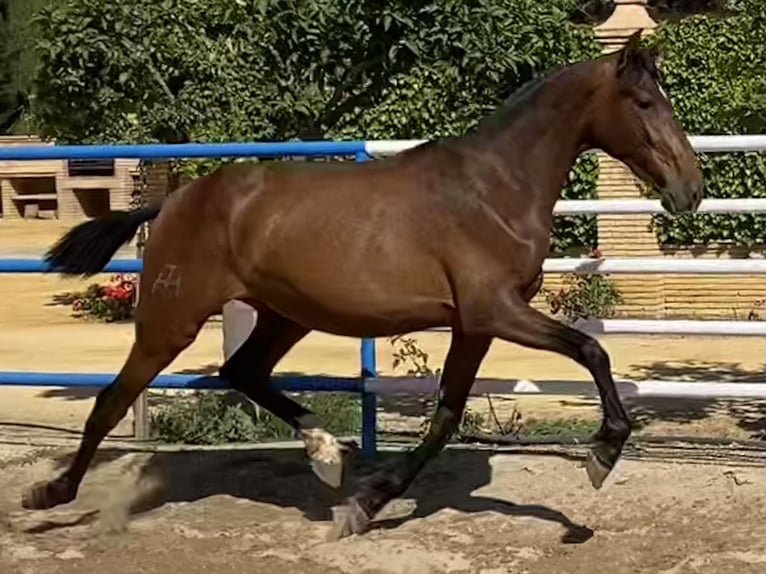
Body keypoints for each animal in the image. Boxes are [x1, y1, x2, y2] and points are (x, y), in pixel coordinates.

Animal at [22, 33, 704, 544]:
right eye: (644, 102)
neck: (494, 189)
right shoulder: (498, 310)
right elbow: (592, 350)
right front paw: (602, 457)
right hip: (173, 317)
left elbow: (446, 417)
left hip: (285, 314)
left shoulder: (474, 324)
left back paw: (327, 456)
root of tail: (174, 201)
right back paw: (50, 494)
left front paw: (365, 504)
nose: (690, 190)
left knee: (242, 371)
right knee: (114, 398)